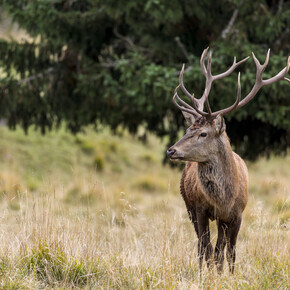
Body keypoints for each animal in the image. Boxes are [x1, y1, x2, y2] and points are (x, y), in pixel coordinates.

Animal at [167, 48, 288, 274]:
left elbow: (229, 251)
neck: (224, 199)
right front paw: (205, 275)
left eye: (203, 133)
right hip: (188, 205)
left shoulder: (236, 213)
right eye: (187, 129)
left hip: (221, 220)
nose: (171, 150)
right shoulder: (200, 208)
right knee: (202, 245)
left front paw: (229, 276)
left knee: (220, 248)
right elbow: (205, 247)